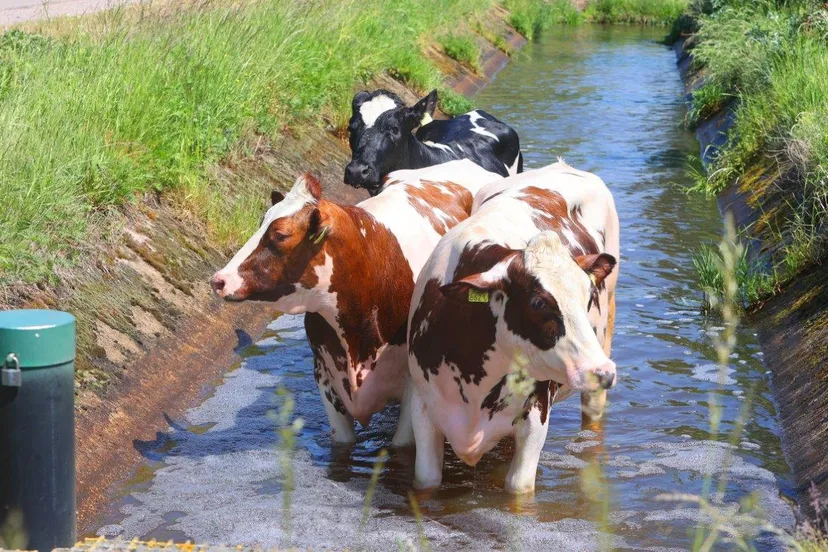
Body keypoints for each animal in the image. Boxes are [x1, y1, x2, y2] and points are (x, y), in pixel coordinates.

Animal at [406, 161, 620, 493]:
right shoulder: (423, 407)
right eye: (537, 303)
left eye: (588, 298)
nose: (603, 372)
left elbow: (518, 488)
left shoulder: (536, 416)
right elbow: (427, 480)